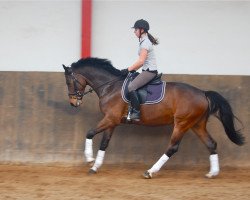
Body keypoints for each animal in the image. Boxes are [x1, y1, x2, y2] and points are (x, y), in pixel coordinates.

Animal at [62, 57, 244, 179]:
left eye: (69, 82)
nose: (73, 103)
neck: (110, 86)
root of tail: (203, 93)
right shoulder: (112, 121)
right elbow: (104, 143)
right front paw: (95, 167)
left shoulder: (110, 119)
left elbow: (90, 133)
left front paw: (89, 159)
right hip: (196, 124)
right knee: (211, 144)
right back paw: (212, 173)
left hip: (182, 123)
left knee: (172, 147)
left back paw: (150, 171)